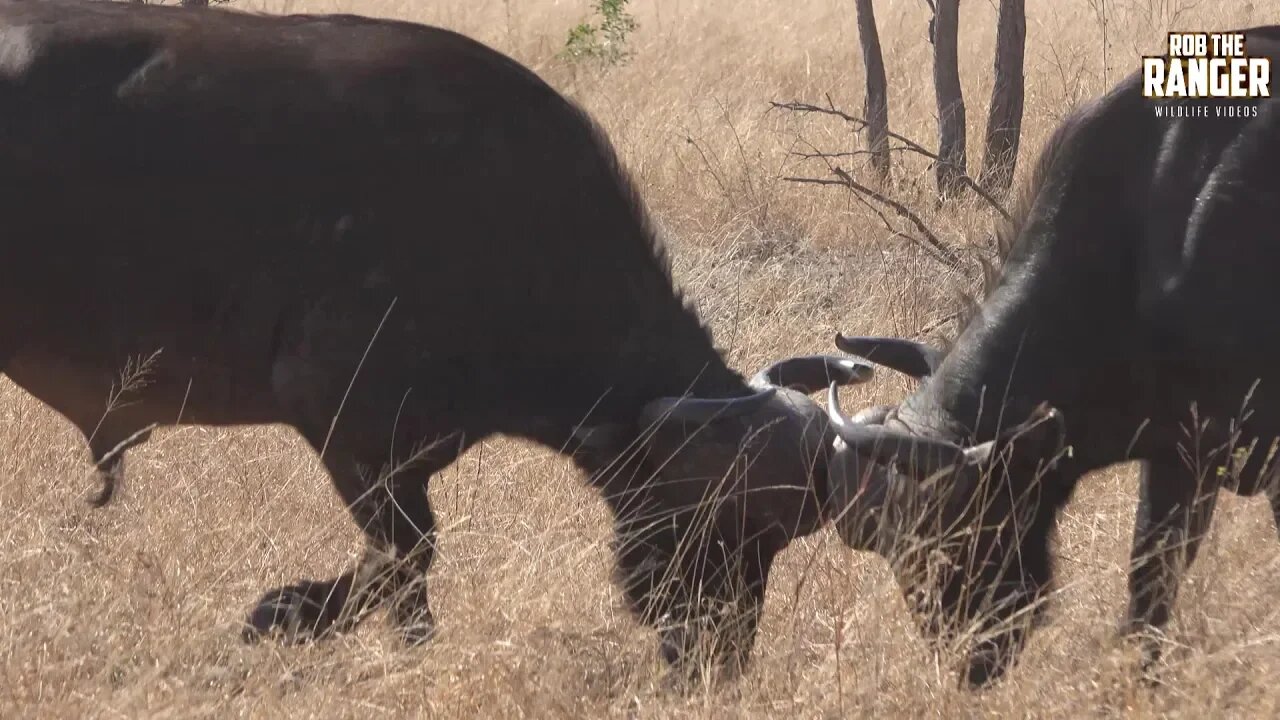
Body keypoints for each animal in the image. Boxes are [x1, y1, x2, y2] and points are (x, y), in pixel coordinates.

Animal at [0, 0, 875, 671]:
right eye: (719, 516)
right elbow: (405, 560)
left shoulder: (405, 455)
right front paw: (277, 616)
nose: (716, 656)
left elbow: (402, 567)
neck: (506, 222)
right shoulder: (350, 427)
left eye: (782, 535)